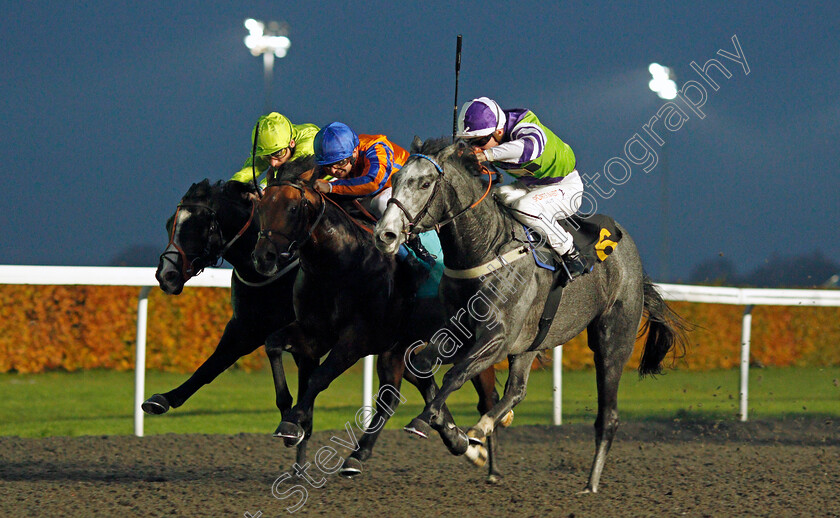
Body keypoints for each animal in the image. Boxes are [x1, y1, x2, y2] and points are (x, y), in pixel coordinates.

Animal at [253, 177, 508, 482]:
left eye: (292, 208)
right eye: (261, 207)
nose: (263, 258)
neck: (340, 263)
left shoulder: (358, 340)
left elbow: (318, 378)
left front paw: (292, 424)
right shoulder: (314, 334)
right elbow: (273, 344)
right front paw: (287, 413)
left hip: (469, 343)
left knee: (486, 398)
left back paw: (491, 467)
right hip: (401, 348)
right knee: (399, 394)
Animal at [376, 139, 688, 496]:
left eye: (425, 183)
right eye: (395, 179)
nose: (385, 234)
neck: (487, 248)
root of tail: (628, 249)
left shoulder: (498, 337)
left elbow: (455, 374)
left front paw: (424, 422)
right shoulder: (461, 332)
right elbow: (423, 363)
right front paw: (457, 437)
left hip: (612, 341)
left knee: (607, 415)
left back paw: (591, 484)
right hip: (530, 343)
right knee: (517, 390)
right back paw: (485, 426)